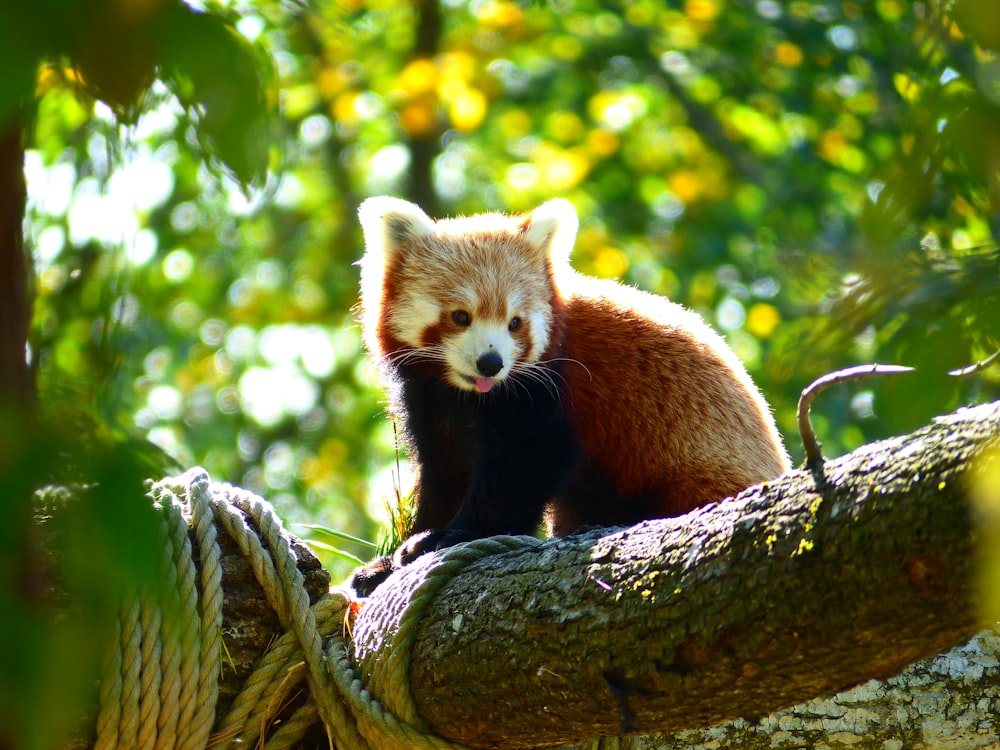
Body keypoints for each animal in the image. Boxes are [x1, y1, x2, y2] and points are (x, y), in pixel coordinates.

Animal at [350, 197, 788, 596]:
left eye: (515, 323)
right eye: (461, 316)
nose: (491, 363)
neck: (469, 395)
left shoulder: (545, 390)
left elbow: (530, 463)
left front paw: (450, 537)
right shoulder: (433, 401)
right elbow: (448, 469)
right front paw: (391, 559)